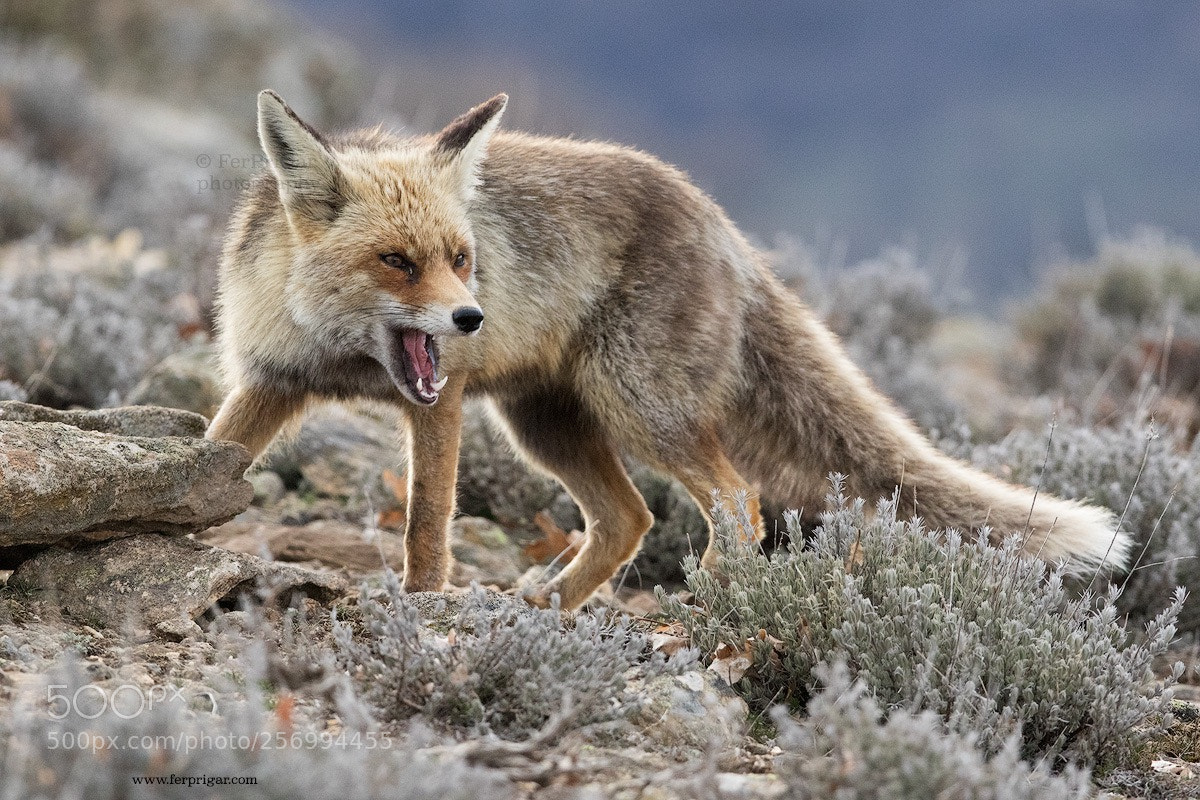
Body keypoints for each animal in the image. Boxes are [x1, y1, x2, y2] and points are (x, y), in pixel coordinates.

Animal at [206, 90, 1133, 610]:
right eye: (397, 262)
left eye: (461, 257)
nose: (471, 317)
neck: (338, 354)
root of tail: (721, 222)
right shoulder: (271, 380)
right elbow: (218, 451)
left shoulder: (437, 403)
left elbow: (427, 522)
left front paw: (422, 606)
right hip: (546, 425)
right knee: (631, 519)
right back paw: (551, 607)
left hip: (641, 413)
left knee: (738, 502)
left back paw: (709, 606)